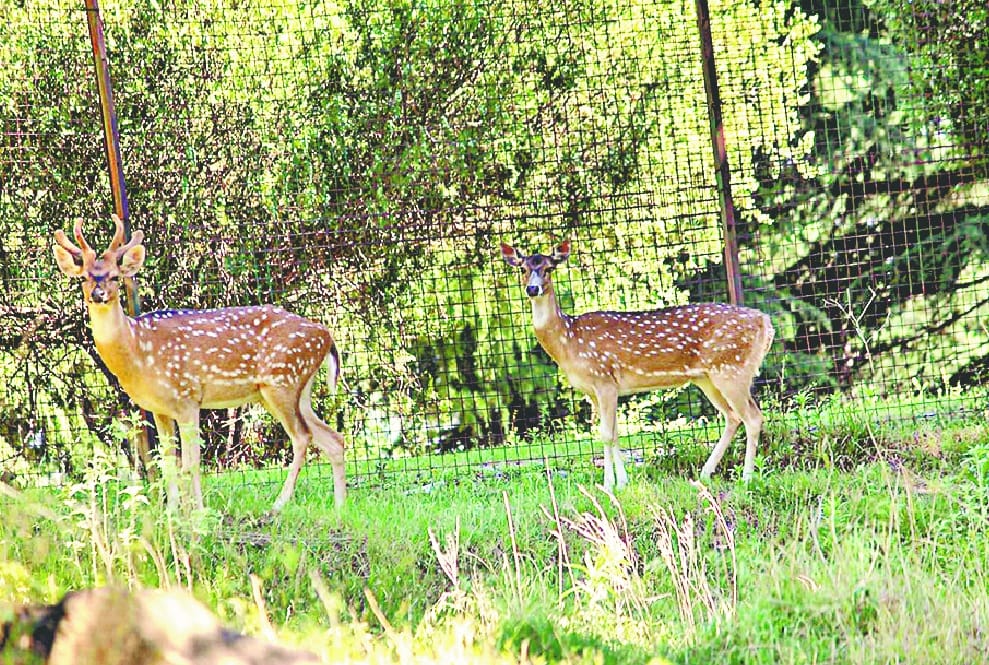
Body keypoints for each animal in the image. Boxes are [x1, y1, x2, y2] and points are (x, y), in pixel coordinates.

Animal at [53, 215, 346, 512]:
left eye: (115, 276)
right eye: (84, 277)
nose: (98, 294)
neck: (139, 351)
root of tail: (326, 335)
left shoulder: (188, 397)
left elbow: (191, 463)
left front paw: (199, 512)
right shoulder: (159, 409)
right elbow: (168, 462)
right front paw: (172, 511)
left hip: (281, 381)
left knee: (302, 437)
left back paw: (278, 505)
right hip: (294, 390)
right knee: (334, 438)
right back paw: (339, 507)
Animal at [501, 240, 774, 491]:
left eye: (548, 268)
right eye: (523, 268)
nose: (532, 288)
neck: (569, 340)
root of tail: (766, 322)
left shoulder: (604, 380)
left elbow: (606, 434)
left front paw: (608, 484)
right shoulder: (594, 391)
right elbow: (615, 434)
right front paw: (622, 482)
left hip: (732, 369)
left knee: (752, 417)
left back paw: (746, 478)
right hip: (707, 378)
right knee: (732, 416)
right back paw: (705, 474)